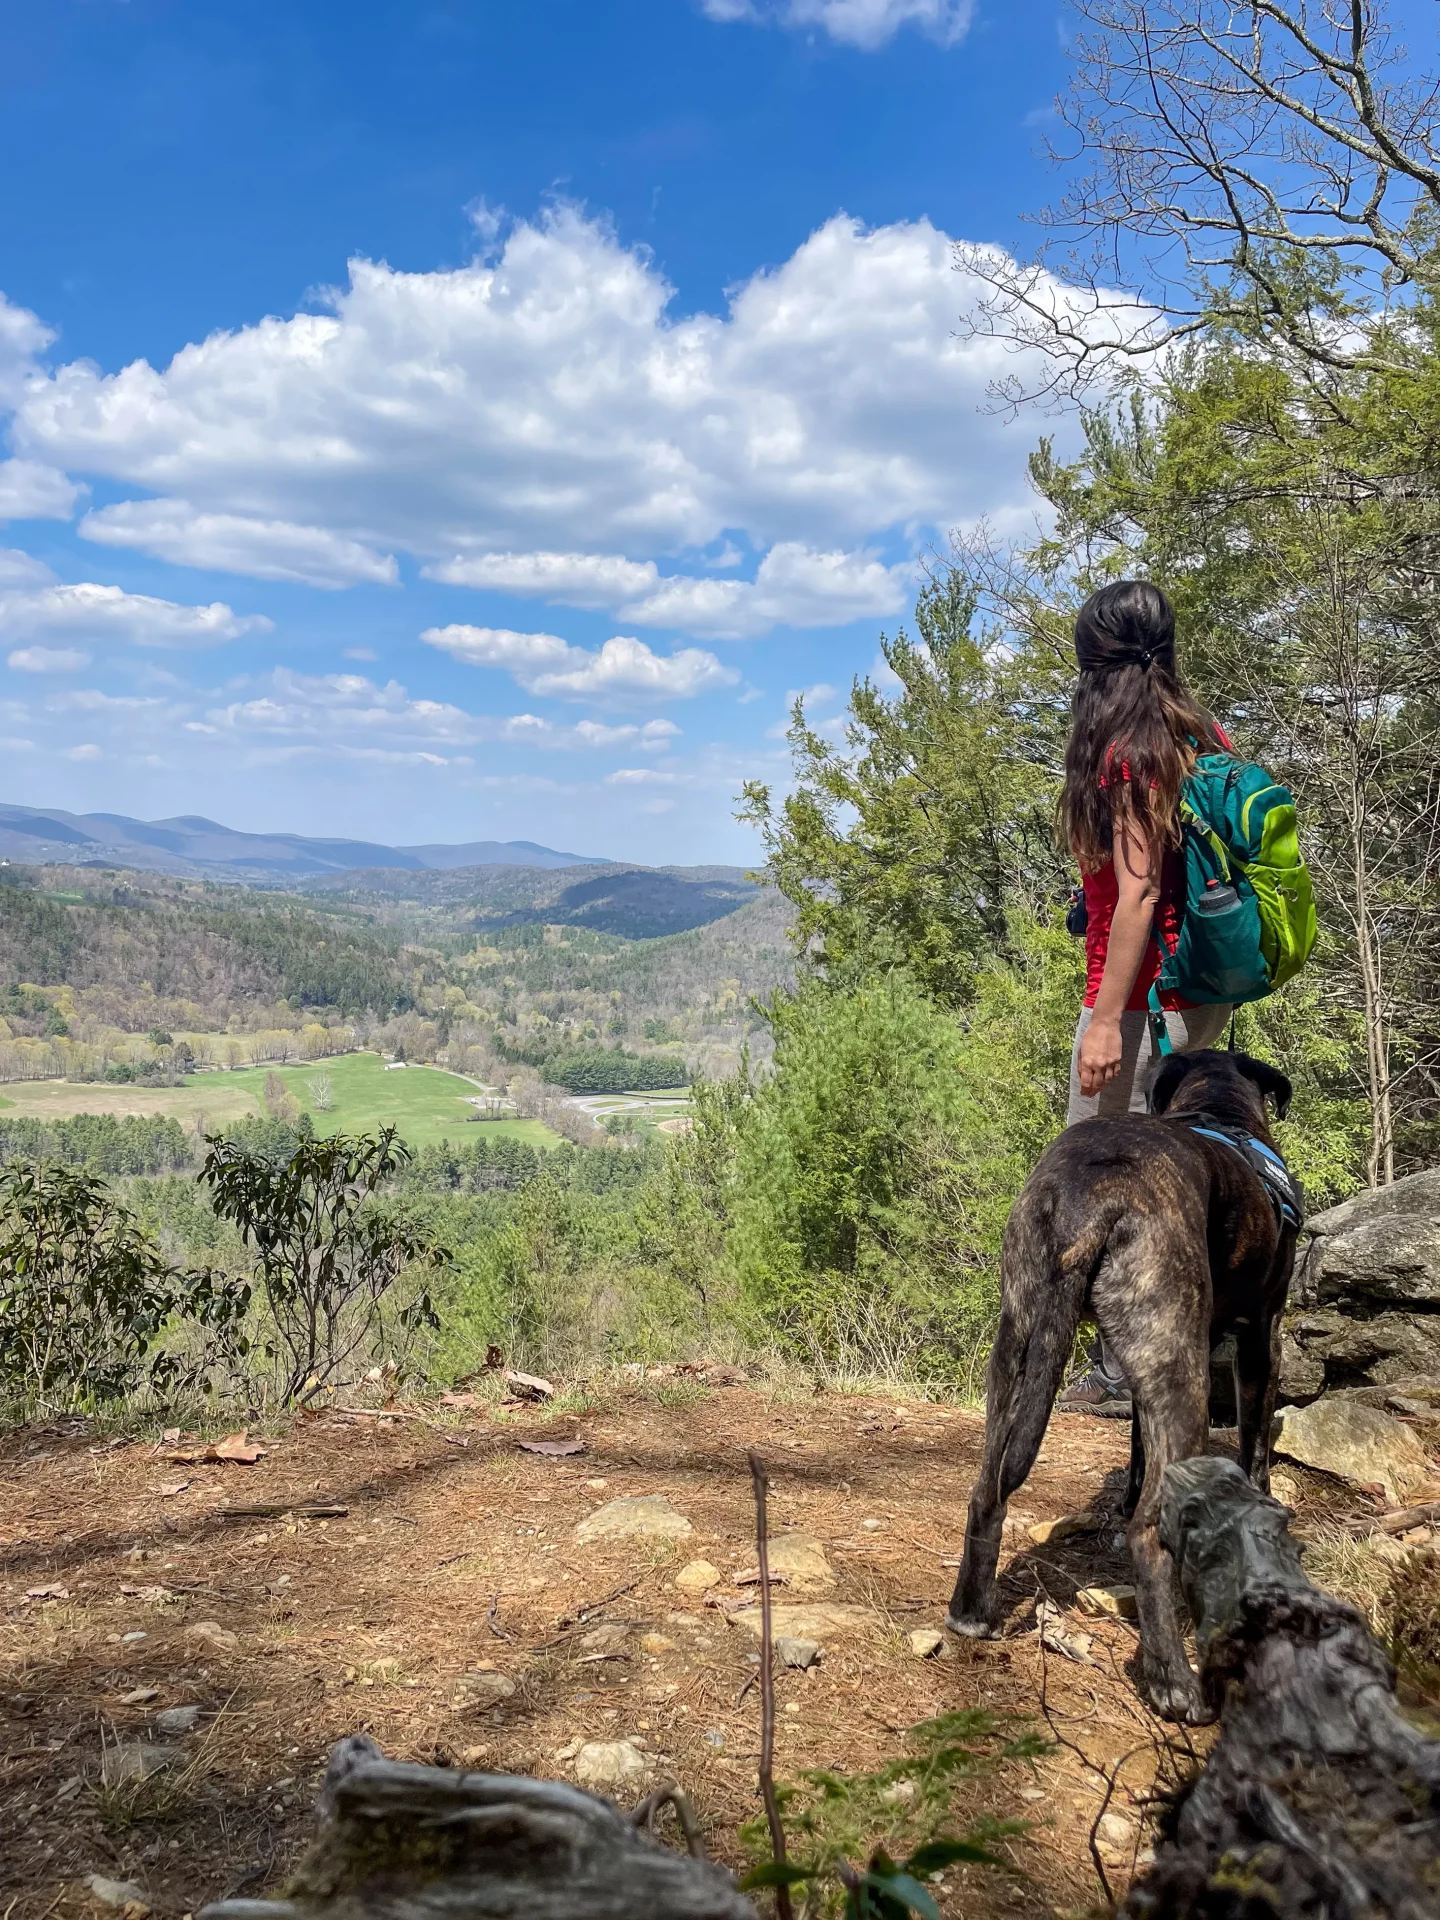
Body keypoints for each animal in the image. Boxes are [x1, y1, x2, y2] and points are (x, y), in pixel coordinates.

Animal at [952, 1052, 1305, 1728]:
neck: (1218, 1107)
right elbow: (1255, 1436)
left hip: (1020, 1346)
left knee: (987, 1490)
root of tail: (1087, 1202)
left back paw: (971, 1612)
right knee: (1148, 1537)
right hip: (1184, 1370)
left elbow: (1140, 1441)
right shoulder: (1260, 1334)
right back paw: (1174, 1682)